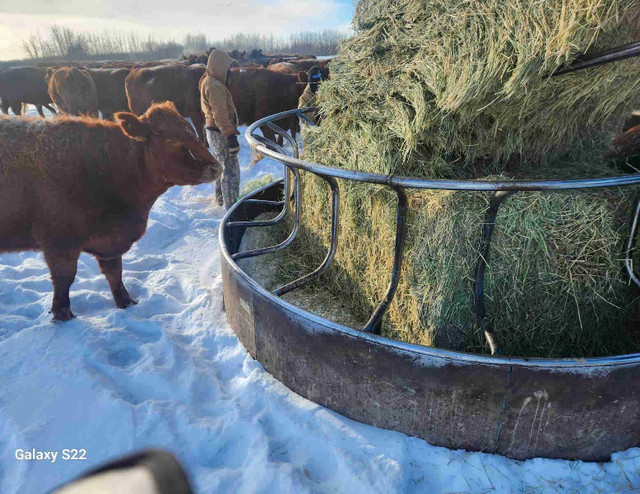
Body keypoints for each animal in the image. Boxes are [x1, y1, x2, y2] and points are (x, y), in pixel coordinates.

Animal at [0, 102, 220, 322]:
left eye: (191, 131)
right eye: (173, 140)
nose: (216, 167)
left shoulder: (109, 243)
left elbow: (115, 273)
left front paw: (126, 302)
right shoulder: (60, 243)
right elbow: (64, 279)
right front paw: (63, 315)